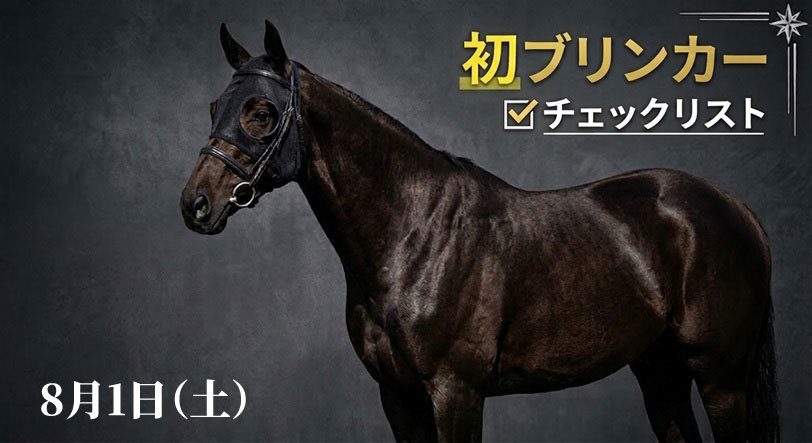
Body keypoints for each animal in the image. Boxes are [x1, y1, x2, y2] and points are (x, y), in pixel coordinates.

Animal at [180, 21, 778, 442]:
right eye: (214, 107)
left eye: (261, 112)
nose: (196, 205)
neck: (414, 237)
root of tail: (736, 207)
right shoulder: (398, 398)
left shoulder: (457, 392)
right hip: (660, 373)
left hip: (721, 377)